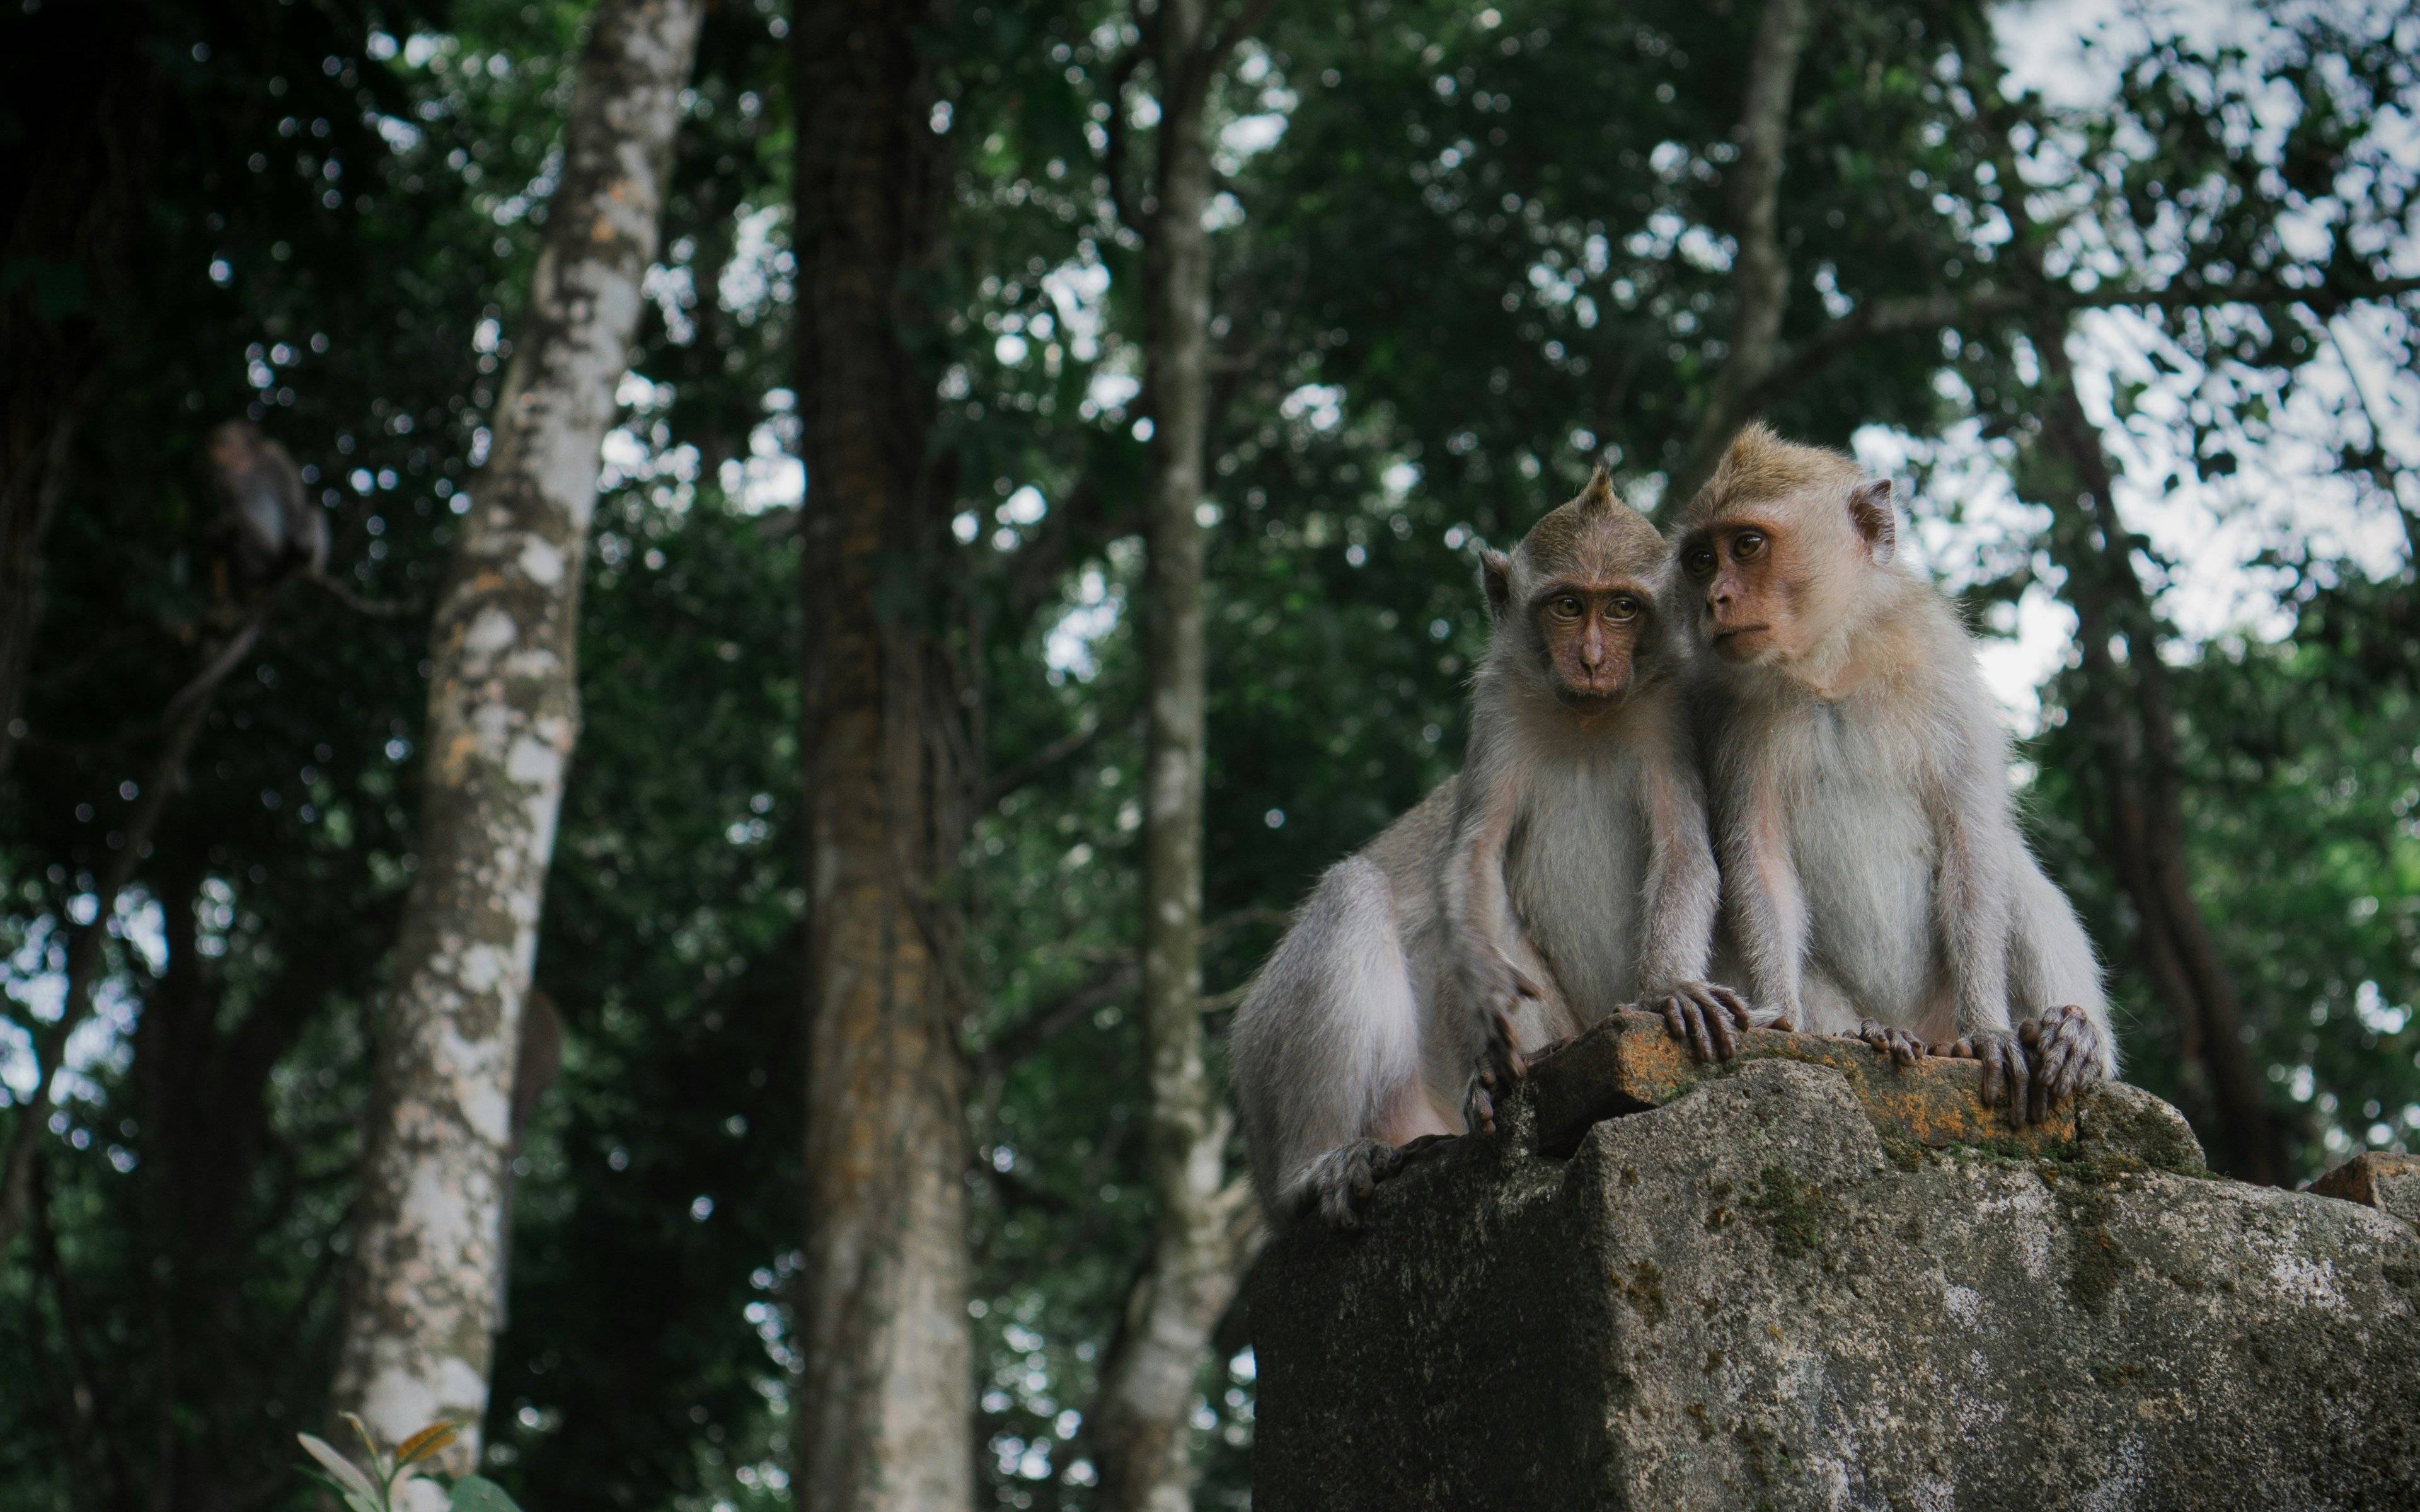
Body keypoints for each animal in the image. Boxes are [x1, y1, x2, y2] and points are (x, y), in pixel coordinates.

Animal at [204, 421, 329, 597]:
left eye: (222, 440)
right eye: (213, 442)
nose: (212, 451)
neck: (245, 462)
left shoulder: (275, 455)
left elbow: (292, 499)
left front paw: (301, 541)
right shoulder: (222, 477)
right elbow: (230, 511)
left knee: (312, 511)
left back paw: (303, 561)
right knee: (240, 529)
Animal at [1239, 469, 1752, 1228]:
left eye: (1623, 609)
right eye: (1567, 606)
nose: (1592, 660)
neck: (1586, 717)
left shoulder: (1670, 709)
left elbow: (1684, 845)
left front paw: (1672, 989)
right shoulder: (1500, 708)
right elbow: (1474, 852)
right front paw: (1486, 985)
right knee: (1357, 895)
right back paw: (1330, 1161)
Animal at [1674, 421, 2110, 1122]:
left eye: (1746, 545)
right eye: (1700, 561)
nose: (1716, 600)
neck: (1830, 666)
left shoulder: (1941, 665)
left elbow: (1971, 836)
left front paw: (1989, 1031)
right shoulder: (1726, 710)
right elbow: (1756, 853)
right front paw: (1780, 1013)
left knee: (2009, 867)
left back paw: (2071, 1037)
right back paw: (1873, 1034)